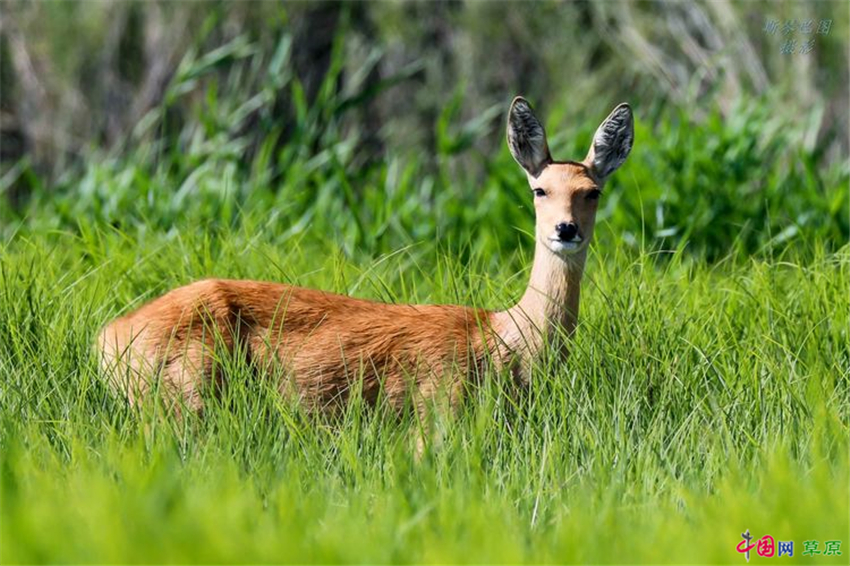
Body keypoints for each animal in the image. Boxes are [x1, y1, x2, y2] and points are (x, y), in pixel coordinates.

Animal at [97, 96, 628, 426]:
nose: (566, 230)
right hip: (183, 398)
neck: (506, 343)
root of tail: (109, 337)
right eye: (540, 190)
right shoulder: (434, 412)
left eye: (593, 192)